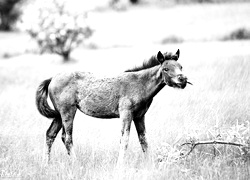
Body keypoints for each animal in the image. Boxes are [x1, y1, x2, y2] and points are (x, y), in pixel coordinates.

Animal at [35, 49, 191, 165]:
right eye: (166, 68)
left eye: (181, 66)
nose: (183, 79)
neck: (139, 84)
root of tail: (52, 78)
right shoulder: (126, 114)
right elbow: (124, 140)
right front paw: (120, 165)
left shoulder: (140, 116)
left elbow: (144, 140)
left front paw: (149, 163)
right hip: (68, 112)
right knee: (66, 138)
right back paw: (76, 164)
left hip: (59, 115)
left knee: (50, 134)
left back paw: (45, 164)